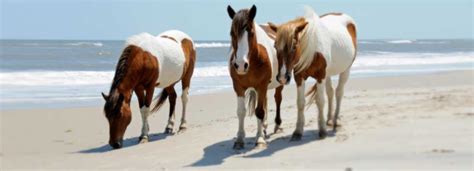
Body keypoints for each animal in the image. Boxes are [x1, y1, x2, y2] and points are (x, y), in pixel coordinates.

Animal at [227, 5, 284, 150]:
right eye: (232, 33)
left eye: (251, 33)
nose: (240, 65)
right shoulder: (238, 87)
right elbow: (241, 112)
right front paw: (239, 139)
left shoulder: (261, 85)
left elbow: (259, 111)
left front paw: (259, 139)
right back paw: (264, 126)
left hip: (278, 83)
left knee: (277, 99)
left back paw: (277, 125)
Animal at [268, 6, 358, 140]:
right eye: (275, 46)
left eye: (294, 46)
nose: (283, 77)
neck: (312, 50)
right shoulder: (299, 77)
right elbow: (300, 102)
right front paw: (298, 131)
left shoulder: (320, 76)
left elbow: (320, 101)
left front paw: (322, 131)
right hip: (328, 73)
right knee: (330, 92)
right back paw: (329, 120)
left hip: (346, 70)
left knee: (339, 92)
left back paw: (336, 121)